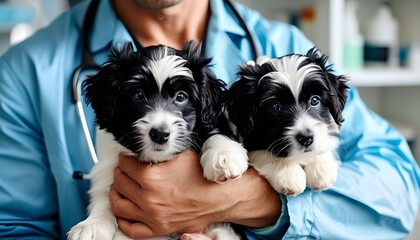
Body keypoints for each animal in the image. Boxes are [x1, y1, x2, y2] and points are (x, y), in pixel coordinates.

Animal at [67, 41, 248, 240]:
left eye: (181, 96)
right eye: (138, 95)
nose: (160, 134)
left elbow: (215, 130)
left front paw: (224, 155)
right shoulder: (108, 162)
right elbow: (104, 190)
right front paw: (92, 225)